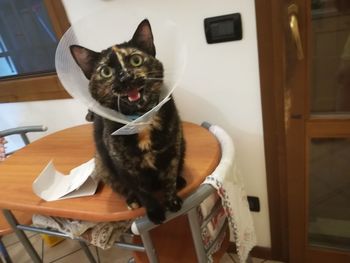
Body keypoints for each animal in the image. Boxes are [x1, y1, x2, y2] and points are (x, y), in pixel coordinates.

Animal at [69, 19, 187, 225]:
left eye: (136, 60)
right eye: (106, 71)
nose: (125, 77)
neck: (140, 119)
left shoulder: (173, 149)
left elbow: (170, 177)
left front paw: (172, 200)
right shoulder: (125, 166)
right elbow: (143, 191)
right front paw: (155, 213)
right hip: (101, 162)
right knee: (124, 188)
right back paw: (132, 200)